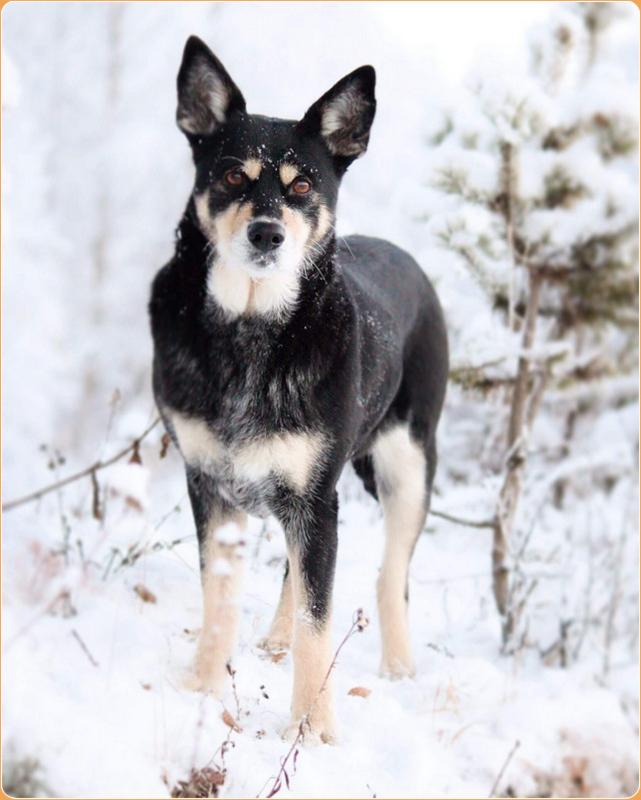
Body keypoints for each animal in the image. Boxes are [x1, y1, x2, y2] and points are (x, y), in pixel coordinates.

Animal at [149, 36, 450, 744]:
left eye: (304, 184)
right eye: (233, 176)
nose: (267, 233)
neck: (251, 331)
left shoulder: (315, 498)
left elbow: (321, 620)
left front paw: (313, 733)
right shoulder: (213, 486)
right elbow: (220, 599)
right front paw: (202, 690)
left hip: (407, 466)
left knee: (390, 573)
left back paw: (398, 665)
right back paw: (276, 641)